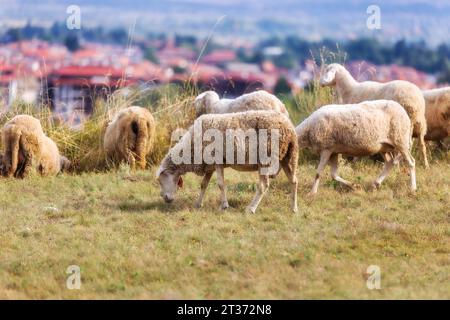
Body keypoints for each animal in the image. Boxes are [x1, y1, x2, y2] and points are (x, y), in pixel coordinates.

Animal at [156, 111, 298, 214]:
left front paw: (224, 206)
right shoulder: (210, 166)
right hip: (289, 156)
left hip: (266, 158)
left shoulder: (217, 161)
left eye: (162, 179)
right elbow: (203, 184)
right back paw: (294, 208)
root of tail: (288, 126)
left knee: (263, 186)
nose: (165, 198)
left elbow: (220, 184)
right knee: (294, 181)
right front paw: (198, 204)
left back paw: (251, 208)